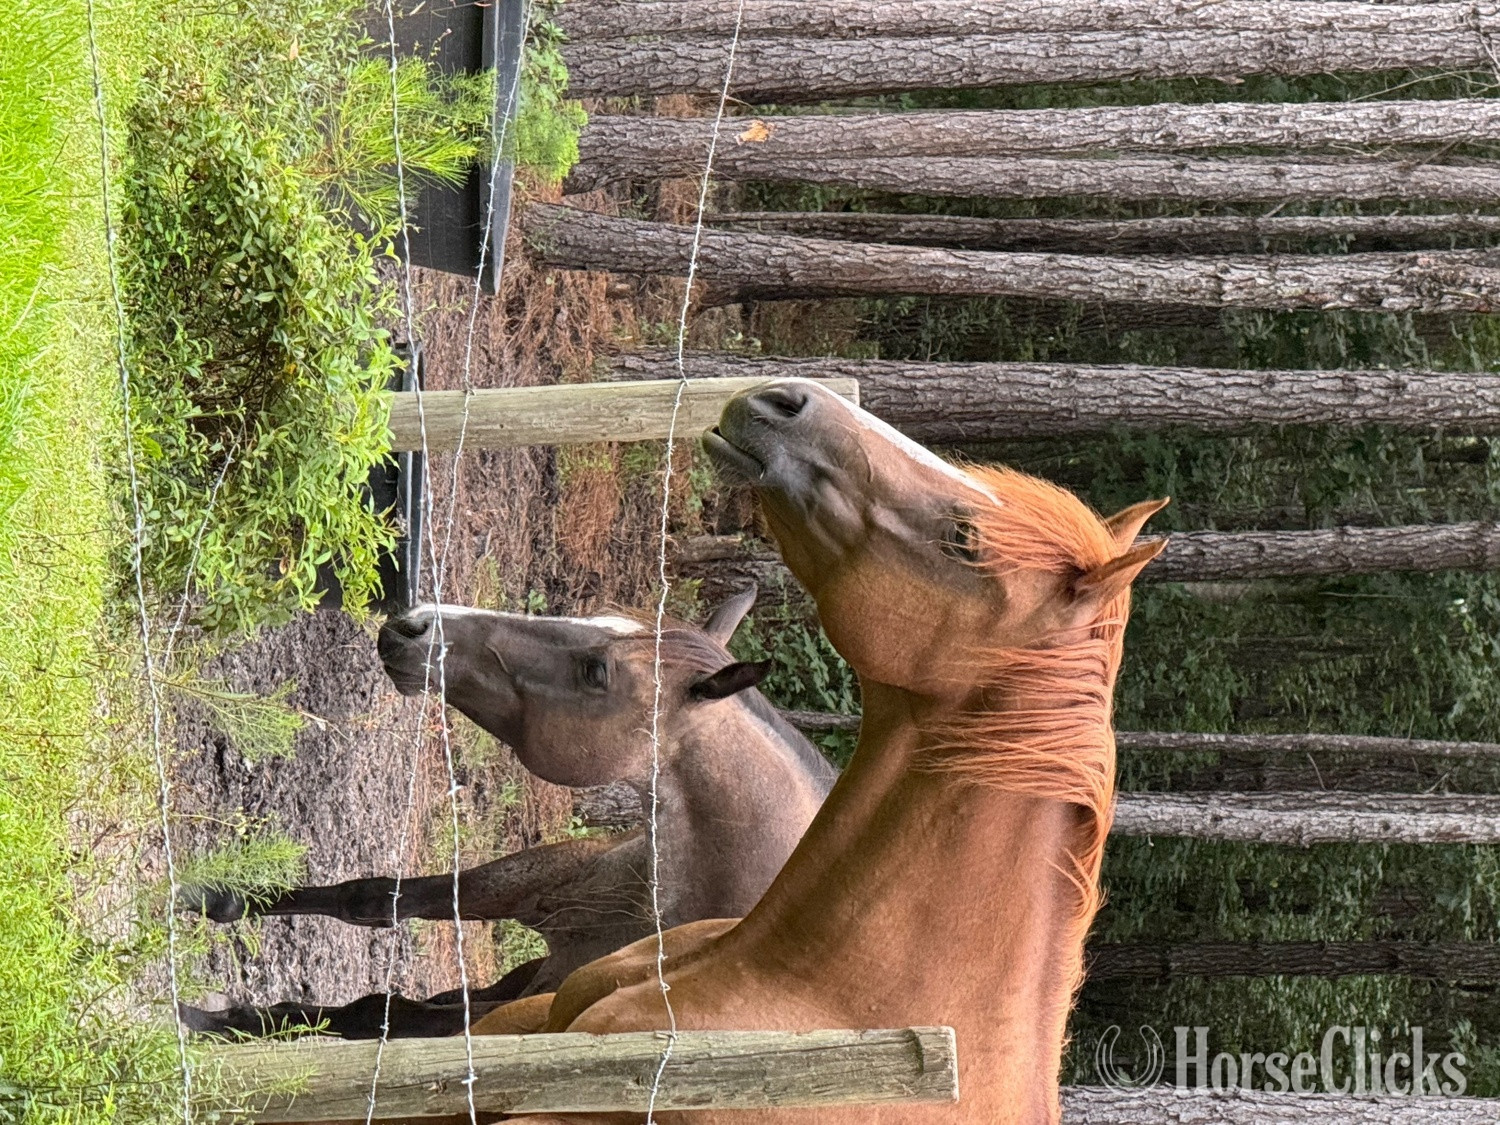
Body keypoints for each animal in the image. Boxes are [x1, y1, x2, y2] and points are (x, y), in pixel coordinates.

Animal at [177, 587, 837, 1039]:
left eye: (595, 671)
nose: (413, 626)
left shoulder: (525, 1011)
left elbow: (377, 1013)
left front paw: (211, 1021)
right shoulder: (535, 880)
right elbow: (372, 898)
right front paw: (212, 898)